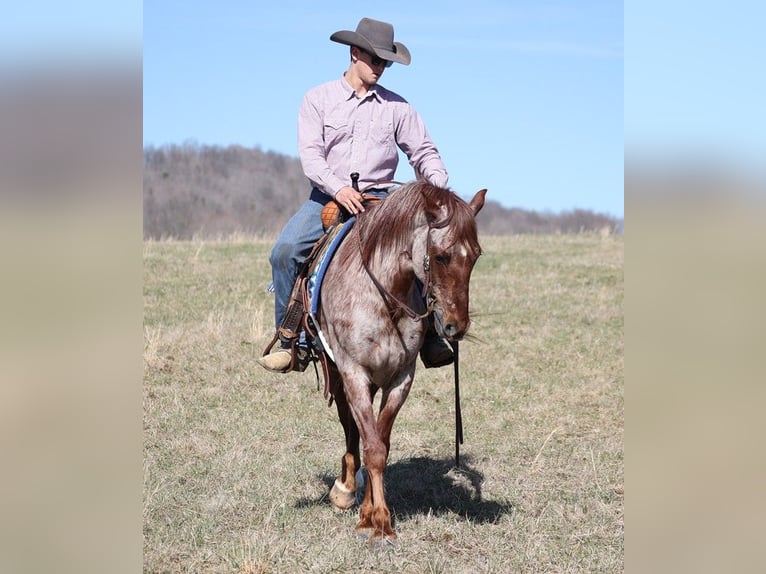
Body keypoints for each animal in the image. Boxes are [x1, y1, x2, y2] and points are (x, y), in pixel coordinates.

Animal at [316, 182, 486, 544]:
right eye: (441, 256)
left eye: (476, 256)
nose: (456, 326)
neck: (385, 298)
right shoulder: (354, 372)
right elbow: (371, 446)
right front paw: (379, 521)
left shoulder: (400, 378)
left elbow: (380, 443)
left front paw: (370, 515)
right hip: (338, 373)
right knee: (349, 424)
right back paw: (344, 488)